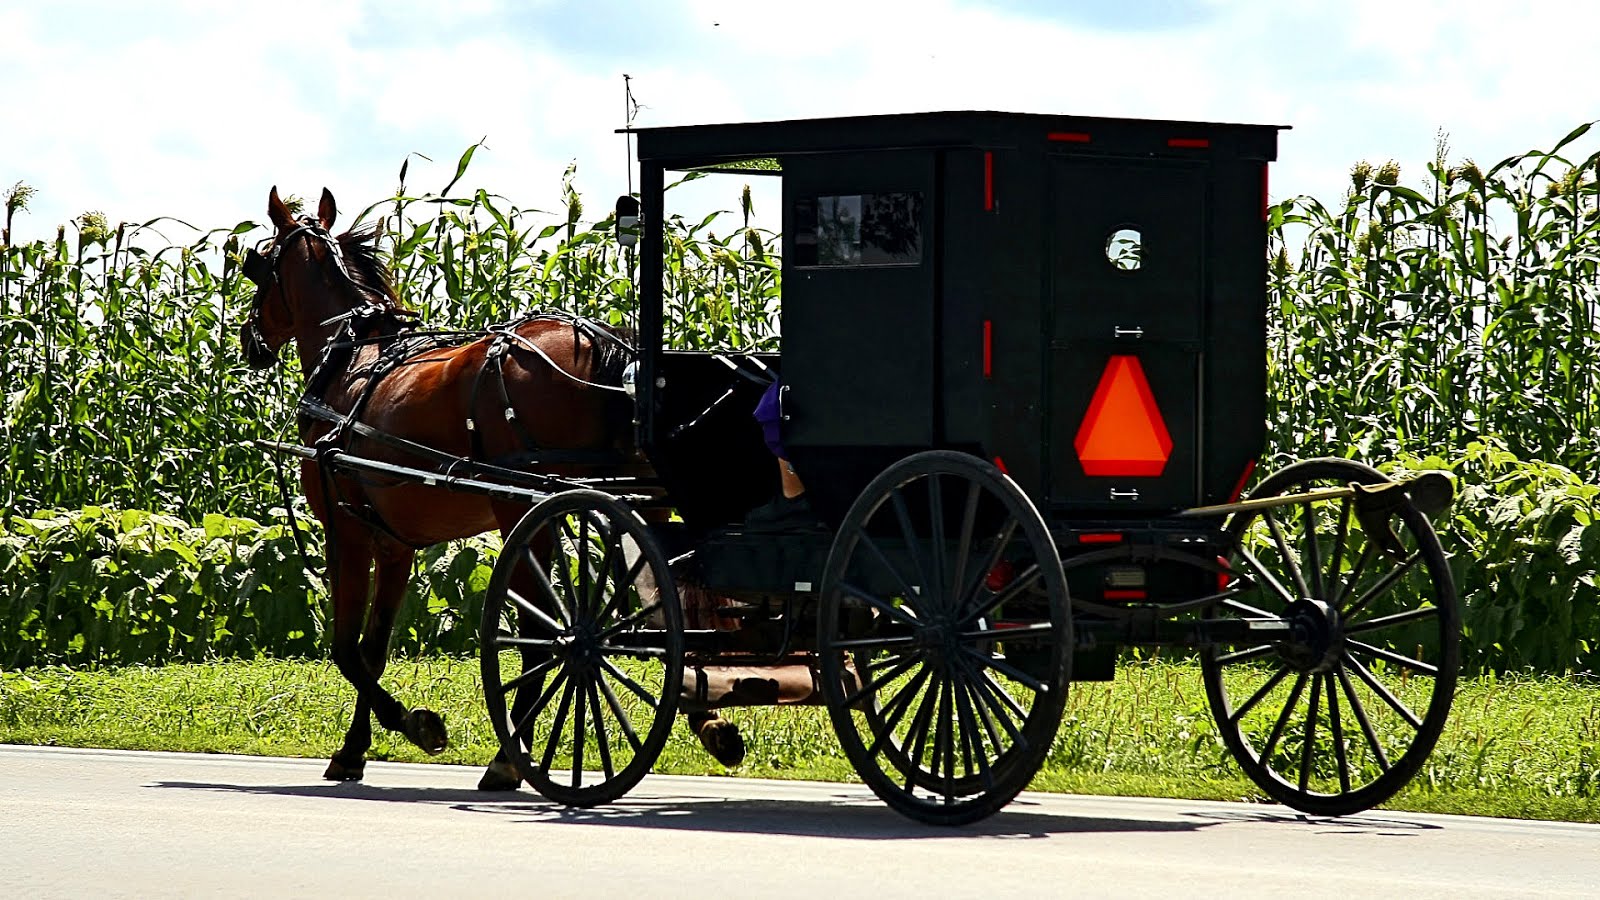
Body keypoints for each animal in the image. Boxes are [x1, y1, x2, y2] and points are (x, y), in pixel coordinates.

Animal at [238, 186, 743, 788]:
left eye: (256, 264)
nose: (247, 341)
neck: (353, 361)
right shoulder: (395, 545)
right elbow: (374, 648)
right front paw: (354, 749)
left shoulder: (348, 532)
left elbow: (345, 648)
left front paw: (415, 725)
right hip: (632, 505)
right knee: (668, 609)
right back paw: (709, 722)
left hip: (520, 510)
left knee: (544, 633)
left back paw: (509, 756)